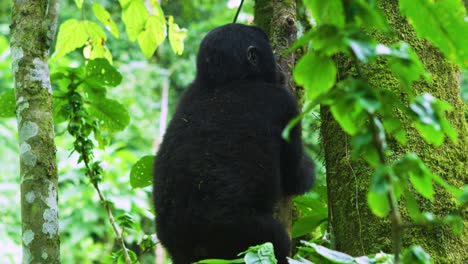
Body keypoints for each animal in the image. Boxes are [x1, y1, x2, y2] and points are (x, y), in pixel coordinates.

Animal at [154, 23, 314, 262]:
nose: (279, 70)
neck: (225, 80)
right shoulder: (283, 103)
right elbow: (294, 176)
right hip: (239, 232)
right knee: (276, 241)